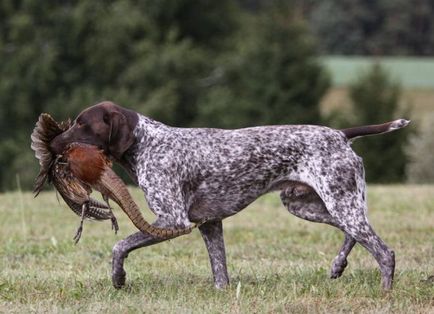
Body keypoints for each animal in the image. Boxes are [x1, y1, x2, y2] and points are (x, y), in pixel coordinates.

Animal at [49, 100, 408, 290]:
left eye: (82, 124)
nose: (51, 143)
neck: (147, 143)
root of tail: (340, 134)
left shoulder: (174, 220)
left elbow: (120, 246)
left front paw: (119, 277)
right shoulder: (209, 223)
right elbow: (219, 269)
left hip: (339, 202)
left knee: (383, 252)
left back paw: (384, 291)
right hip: (308, 204)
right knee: (353, 234)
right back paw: (337, 266)